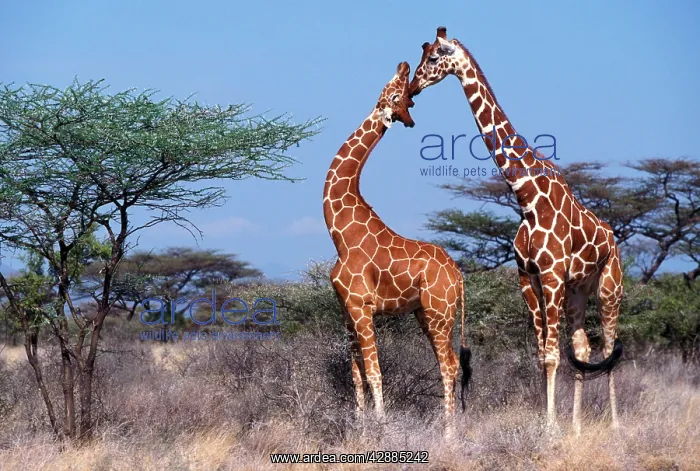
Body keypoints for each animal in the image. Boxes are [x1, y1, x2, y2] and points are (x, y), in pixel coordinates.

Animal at [323, 62, 472, 425]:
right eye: (399, 94)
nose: (404, 66)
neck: (339, 232)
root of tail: (459, 276)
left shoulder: (362, 307)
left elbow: (376, 372)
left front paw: (379, 425)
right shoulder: (345, 308)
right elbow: (356, 374)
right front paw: (360, 425)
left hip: (438, 312)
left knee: (449, 364)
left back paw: (449, 430)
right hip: (425, 313)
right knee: (450, 363)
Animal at [408, 27, 624, 434]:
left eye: (434, 57)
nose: (412, 87)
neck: (526, 196)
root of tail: (614, 240)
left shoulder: (551, 276)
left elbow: (553, 355)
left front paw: (551, 428)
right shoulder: (528, 277)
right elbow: (543, 354)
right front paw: (549, 423)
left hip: (609, 288)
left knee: (609, 346)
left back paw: (617, 425)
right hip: (577, 292)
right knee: (584, 348)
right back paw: (576, 426)